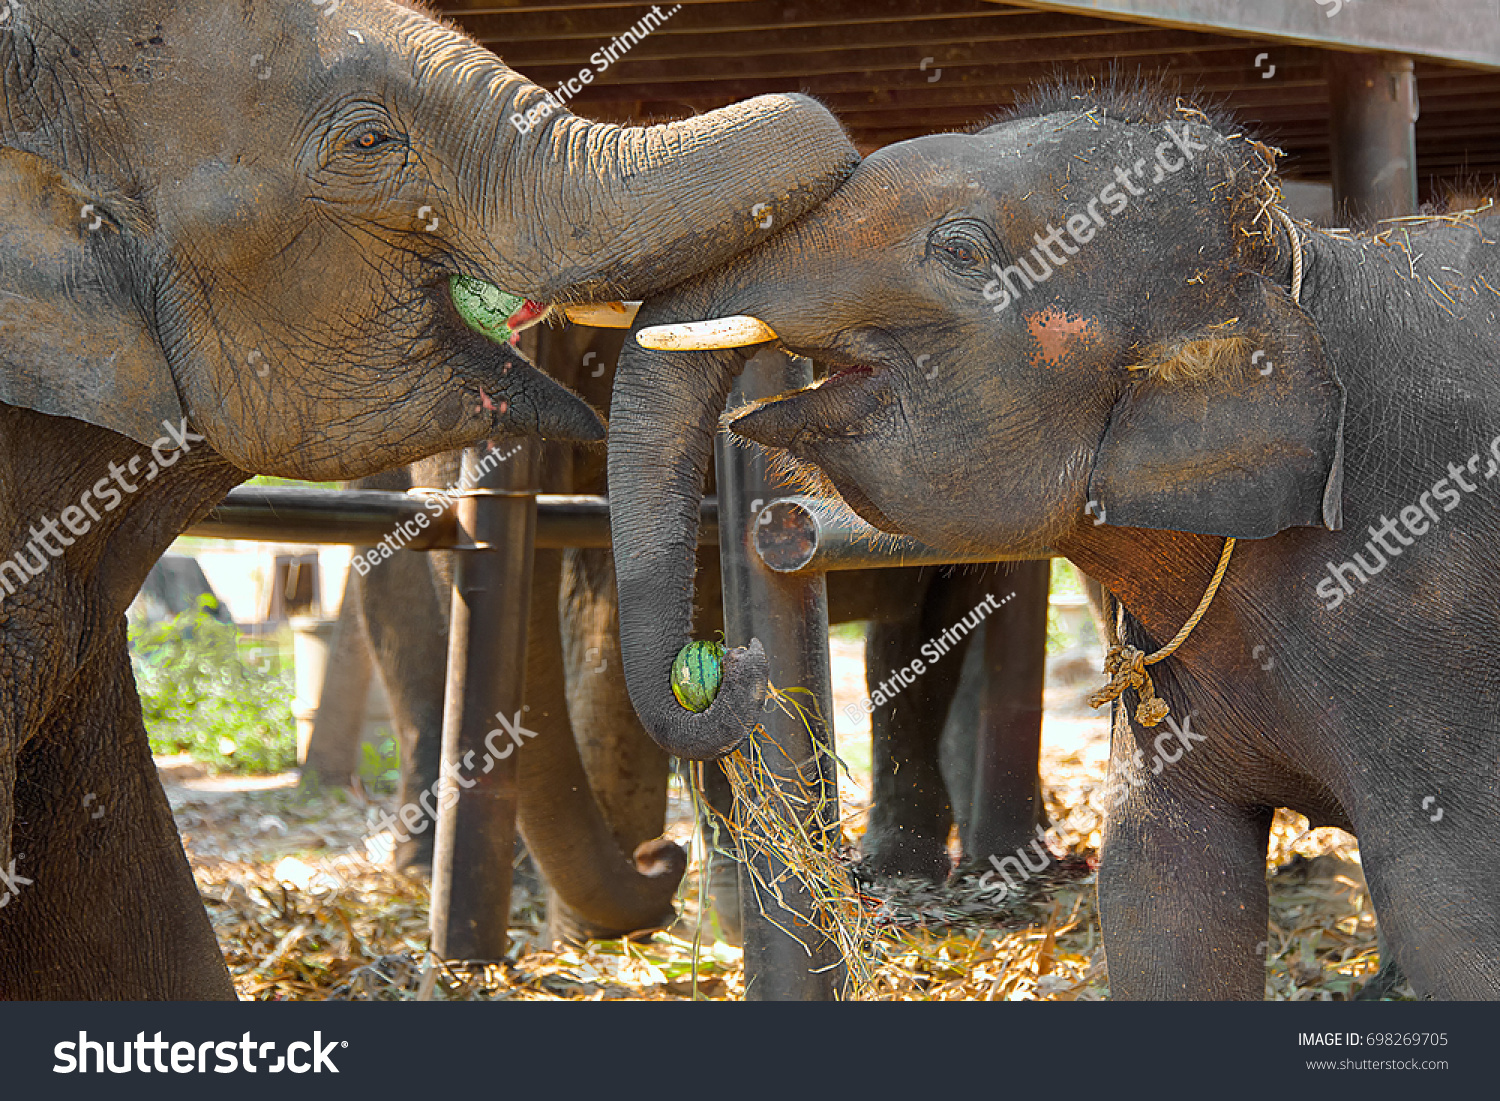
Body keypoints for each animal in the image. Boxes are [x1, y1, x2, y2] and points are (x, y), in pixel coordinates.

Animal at [606, 84, 1500, 1002]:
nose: (730, 663)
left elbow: (1454, 928)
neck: (1299, 260)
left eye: (960, 250)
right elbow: (1162, 905)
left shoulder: (1435, 627)